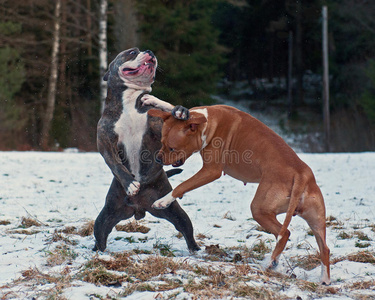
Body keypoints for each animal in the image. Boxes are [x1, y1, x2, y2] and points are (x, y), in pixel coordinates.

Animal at [93, 48, 200, 252]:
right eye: (132, 52)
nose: (149, 51)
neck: (130, 102)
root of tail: (139, 209)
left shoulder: (157, 126)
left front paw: (179, 110)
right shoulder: (105, 142)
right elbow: (117, 165)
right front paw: (130, 184)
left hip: (174, 211)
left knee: (186, 229)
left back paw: (196, 250)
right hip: (105, 217)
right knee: (100, 235)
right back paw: (98, 252)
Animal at [148, 105, 330, 284]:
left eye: (172, 148)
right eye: (161, 143)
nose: (158, 159)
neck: (207, 123)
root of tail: (301, 174)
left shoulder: (211, 171)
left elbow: (182, 185)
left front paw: (163, 201)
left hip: (259, 209)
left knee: (284, 233)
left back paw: (272, 263)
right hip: (315, 221)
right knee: (324, 248)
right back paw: (324, 279)